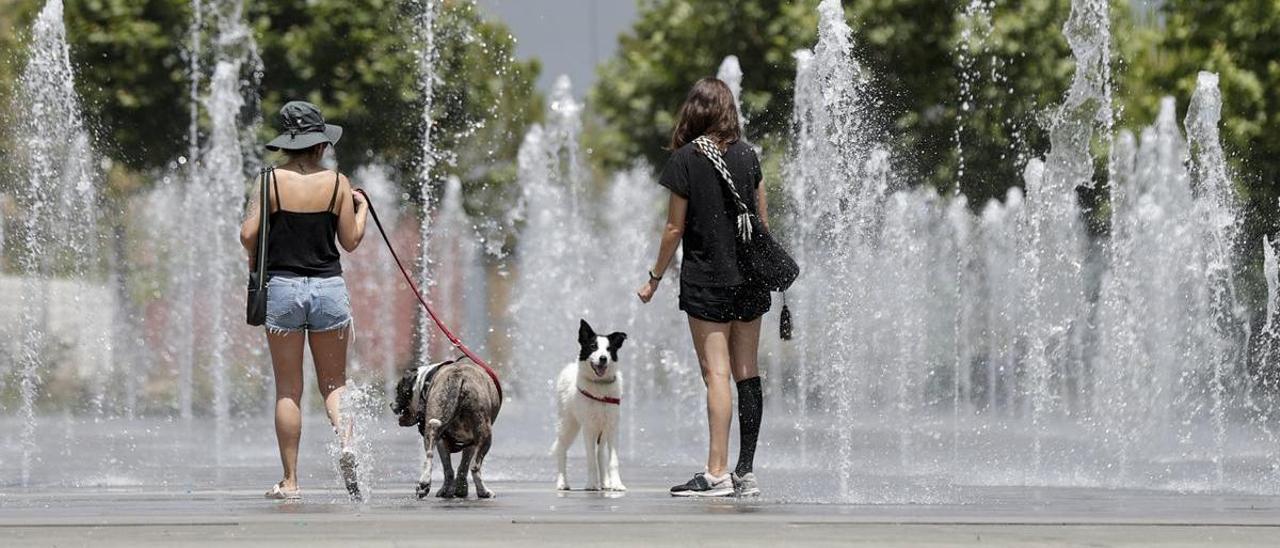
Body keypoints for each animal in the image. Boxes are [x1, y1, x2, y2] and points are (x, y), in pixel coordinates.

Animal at [389, 358, 499, 499]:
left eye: (398, 389)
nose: (391, 404)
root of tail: (458, 377)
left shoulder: (445, 441)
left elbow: (449, 468)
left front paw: (449, 490)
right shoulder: (471, 444)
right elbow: (463, 466)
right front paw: (460, 489)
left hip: (434, 426)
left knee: (430, 454)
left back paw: (424, 484)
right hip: (485, 435)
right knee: (475, 467)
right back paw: (483, 492)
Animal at [552, 318, 627, 489]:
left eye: (609, 349)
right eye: (593, 346)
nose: (603, 358)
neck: (600, 385)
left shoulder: (612, 427)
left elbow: (612, 460)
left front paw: (616, 484)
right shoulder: (589, 428)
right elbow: (591, 459)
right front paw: (592, 484)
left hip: (601, 430)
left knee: (600, 453)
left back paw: (605, 483)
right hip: (567, 423)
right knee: (561, 449)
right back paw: (562, 482)